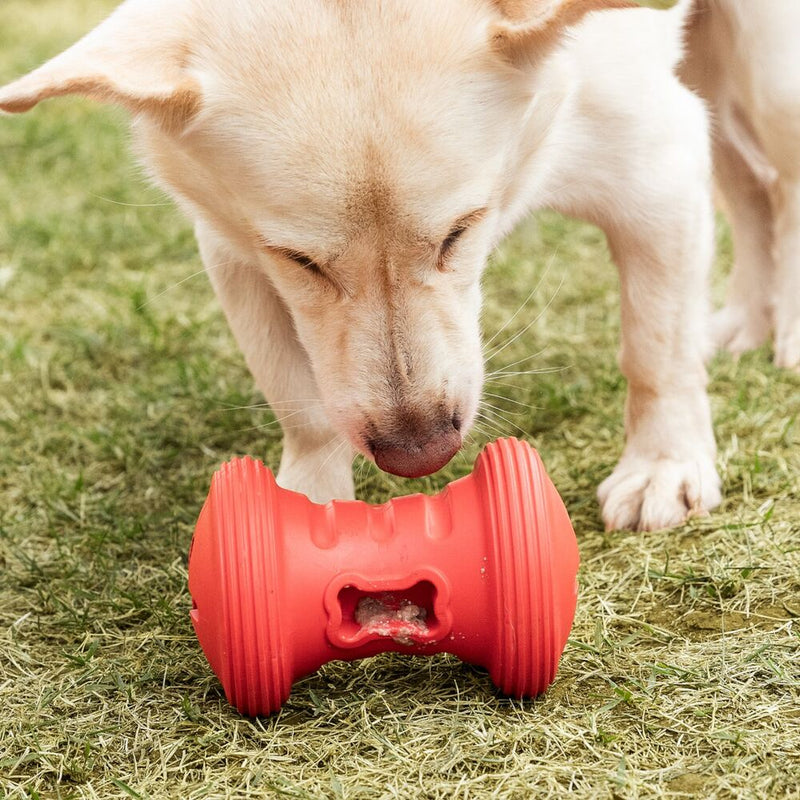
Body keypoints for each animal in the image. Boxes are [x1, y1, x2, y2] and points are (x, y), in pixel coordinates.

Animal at [1, 0, 792, 532]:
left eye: (460, 231)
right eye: (301, 261)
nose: (420, 454)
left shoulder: (656, 169)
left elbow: (655, 353)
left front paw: (664, 467)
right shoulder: (232, 248)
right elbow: (300, 402)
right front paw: (310, 503)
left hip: (769, 76)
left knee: (781, 184)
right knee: (751, 187)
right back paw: (746, 323)